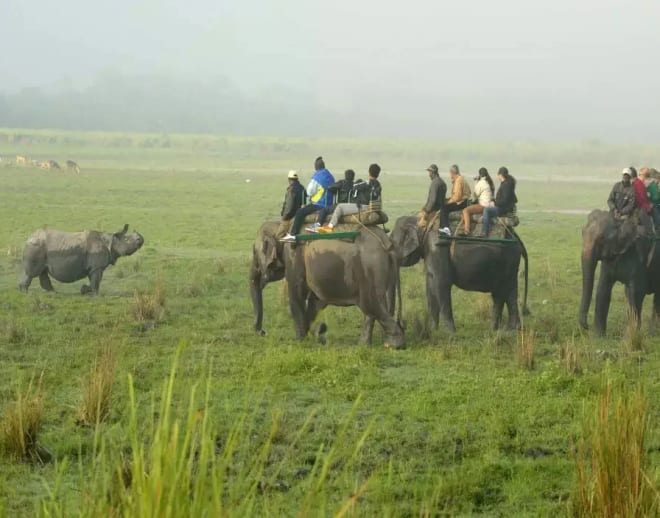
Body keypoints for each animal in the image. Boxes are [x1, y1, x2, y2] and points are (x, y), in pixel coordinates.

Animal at [390, 216, 528, 334]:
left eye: (391, 244)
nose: (402, 324)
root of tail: (517, 237)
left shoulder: (437, 249)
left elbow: (441, 284)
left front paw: (450, 333)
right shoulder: (430, 251)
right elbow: (430, 287)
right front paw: (433, 330)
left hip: (506, 260)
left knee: (501, 292)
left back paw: (499, 330)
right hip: (510, 262)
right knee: (509, 292)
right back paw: (509, 330)